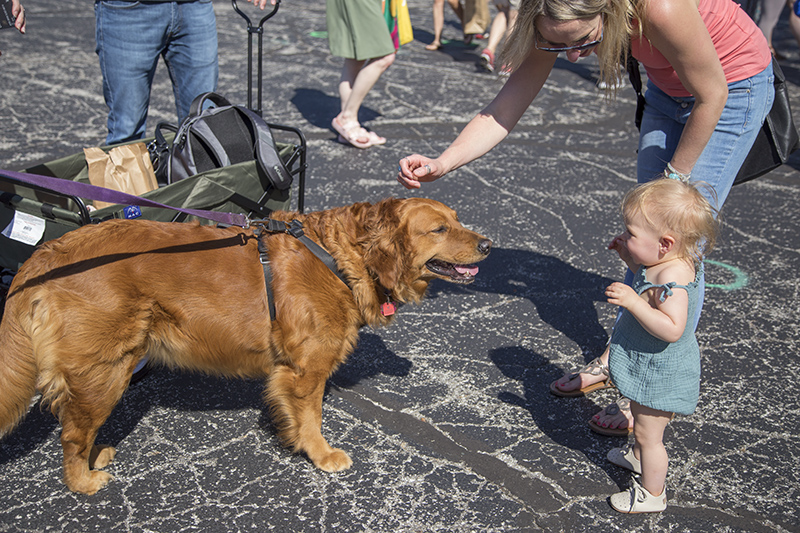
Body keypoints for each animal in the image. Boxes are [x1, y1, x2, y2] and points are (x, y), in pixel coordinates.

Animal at [0, 197, 488, 492]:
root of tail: (47, 253)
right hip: (107, 368)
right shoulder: (306, 369)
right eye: (439, 229)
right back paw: (81, 481)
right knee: (71, 432)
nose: (487, 243)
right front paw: (321, 454)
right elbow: (312, 416)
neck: (339, 255)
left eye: (459, 219)